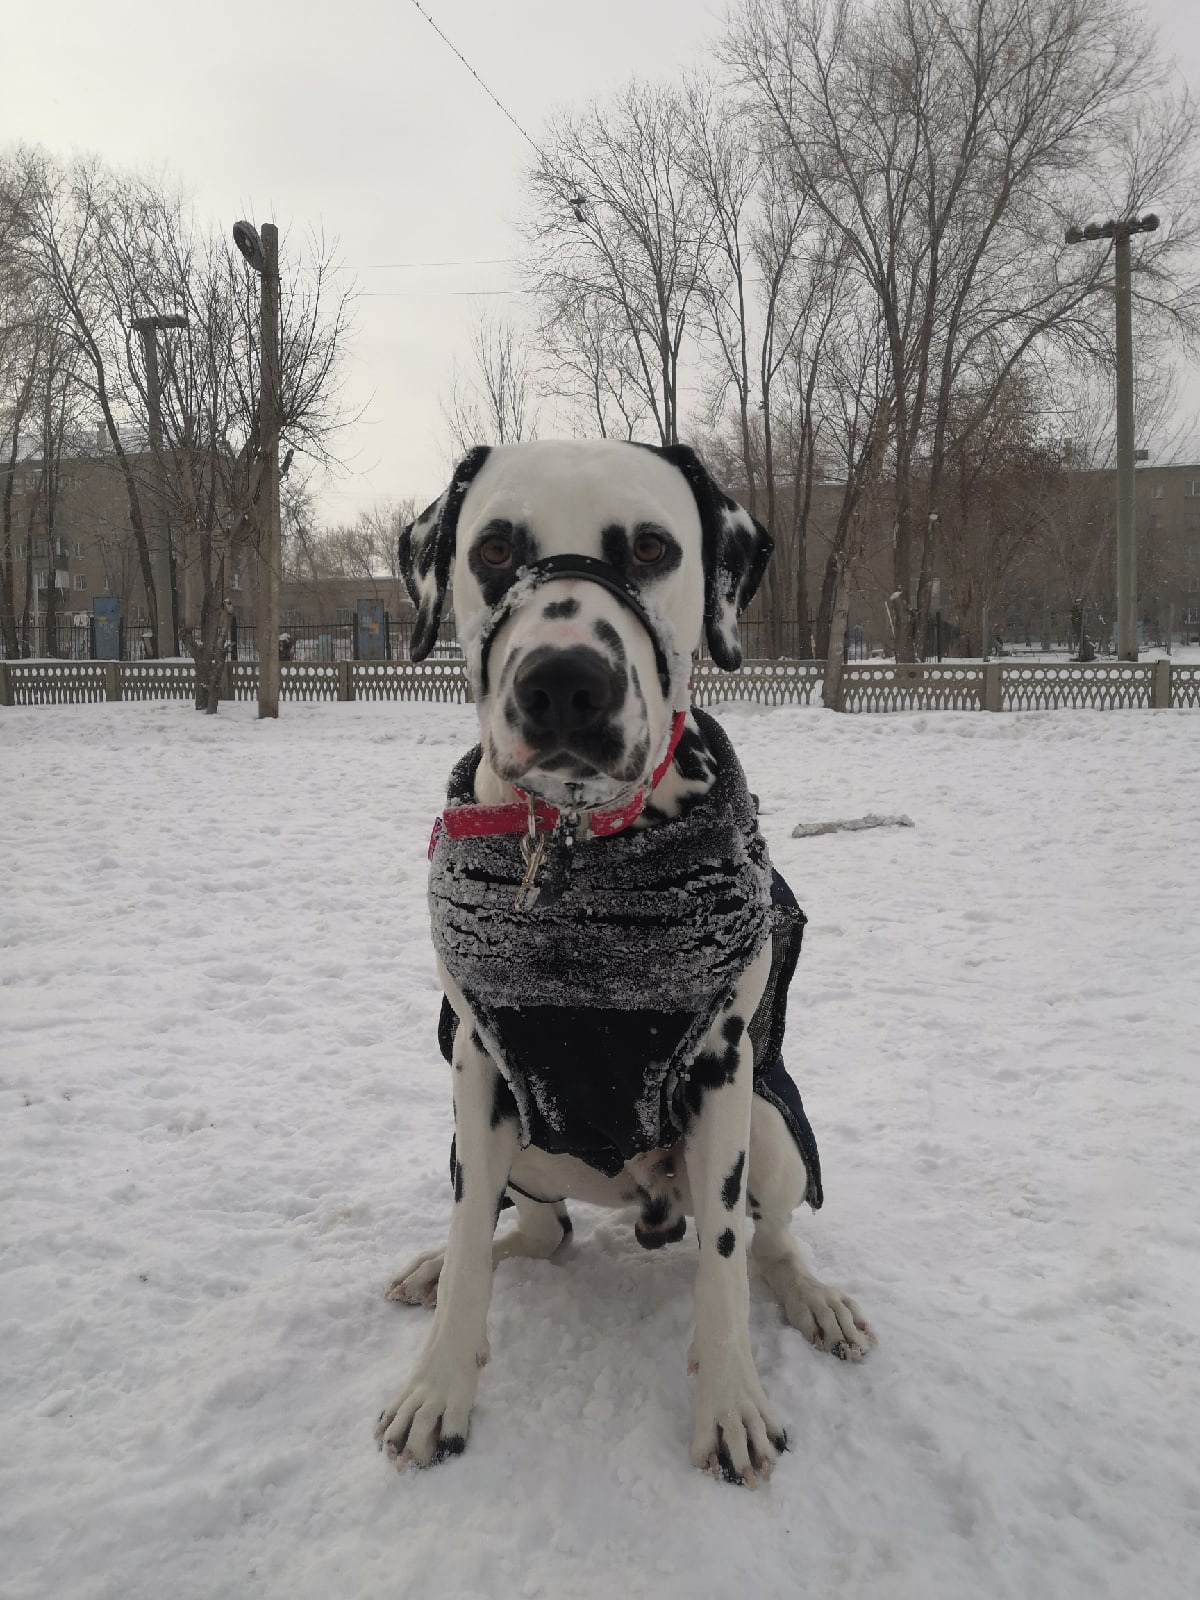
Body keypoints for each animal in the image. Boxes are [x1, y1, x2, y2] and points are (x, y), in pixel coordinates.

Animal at [377, 441, 876, 1484]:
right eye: (492, 549)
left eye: (651, 547)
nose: (565, 683)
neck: (581, 848)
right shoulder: (480, 1065)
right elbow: (472, 1239)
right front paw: (438, 1387)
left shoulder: (722, 1070)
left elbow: (724, 1259)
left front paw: (730, 1404)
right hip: (502, 1136)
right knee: (523, 1228)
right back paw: (438, 1266)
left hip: (771, 1124)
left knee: (769, 1242)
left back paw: (815, 1301)